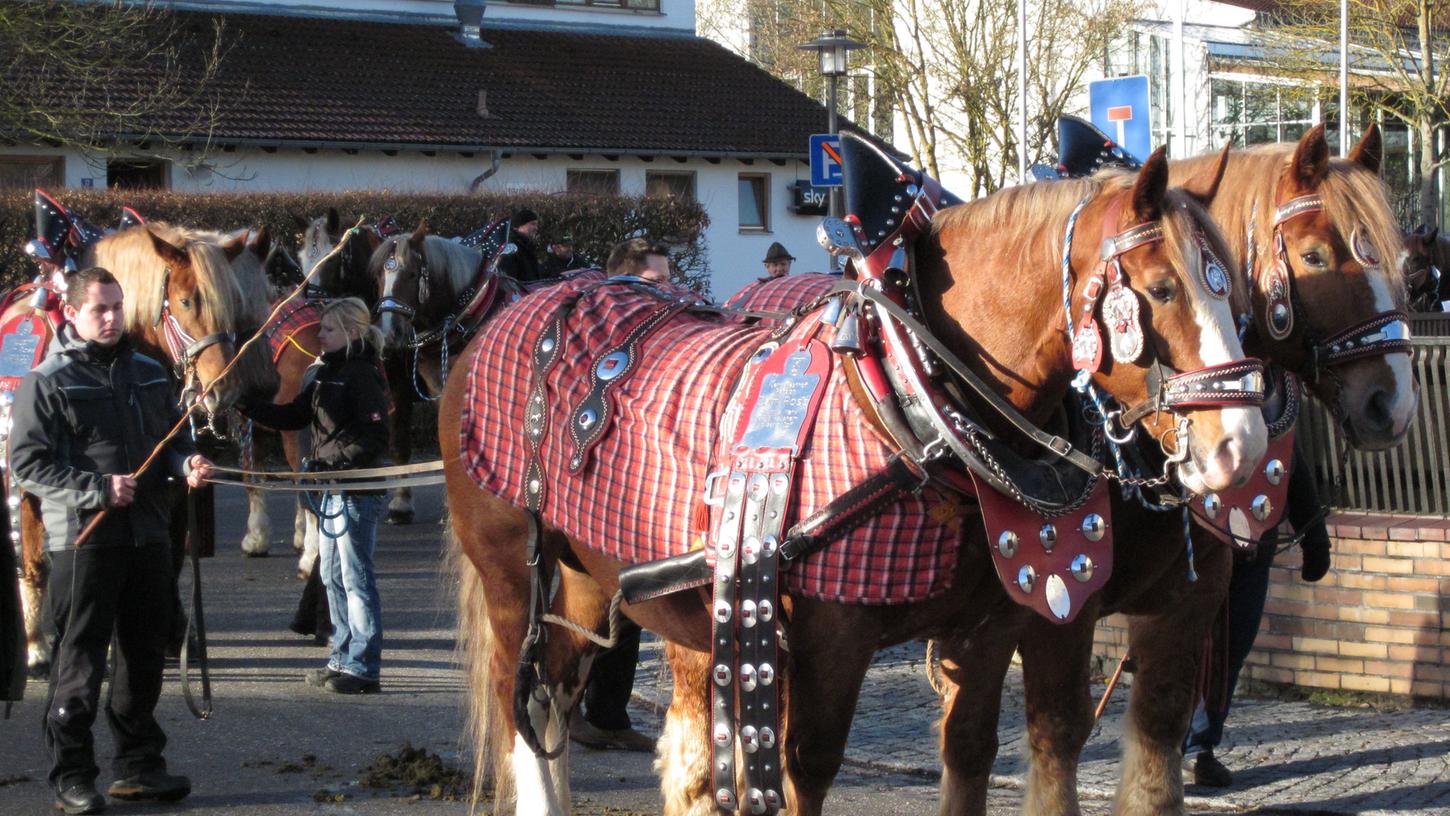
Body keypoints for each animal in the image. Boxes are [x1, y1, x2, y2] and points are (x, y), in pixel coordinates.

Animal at [440, 142, 1270, 816]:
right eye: (1162, 290)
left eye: (1234, 291)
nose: (1241, 445)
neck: (910, 396)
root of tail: (516, 314)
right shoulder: (826, 640)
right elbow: (803, 771)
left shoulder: (990, 626)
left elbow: (969, 751)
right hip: (515, 579)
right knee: (524, 705)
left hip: (591, 581)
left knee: (559, 696)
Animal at [928, 123, 1415, 816]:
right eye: (1317, 257)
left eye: (1401, 265)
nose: (1391, 404)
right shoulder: (1060, 605)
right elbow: (1057, 735)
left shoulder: (1192, 601)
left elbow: (1160, 735)